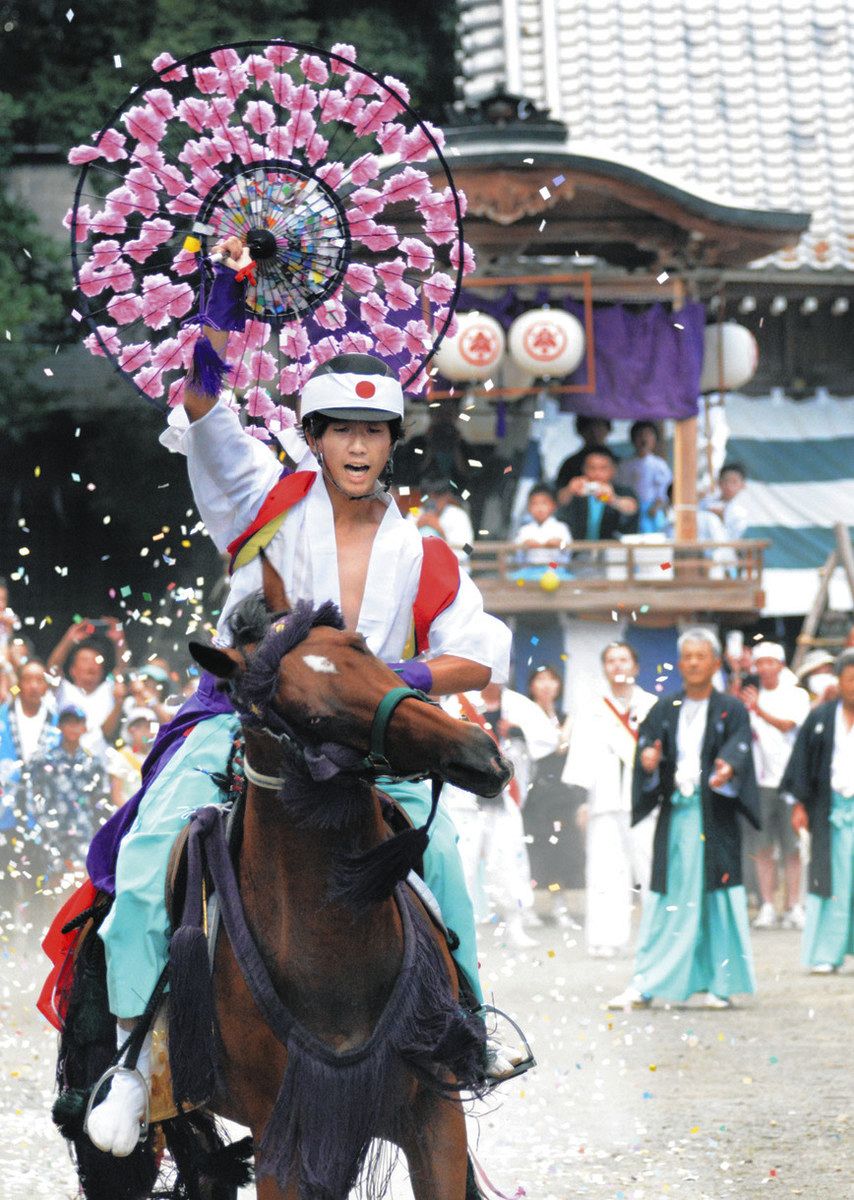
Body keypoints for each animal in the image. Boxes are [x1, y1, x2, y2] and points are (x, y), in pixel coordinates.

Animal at [172, 578, 510, 1190]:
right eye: (310, 717)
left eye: (364, 648)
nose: (478, 752)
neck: (333, 949)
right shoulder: (285, 1137)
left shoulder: (436, 1115)